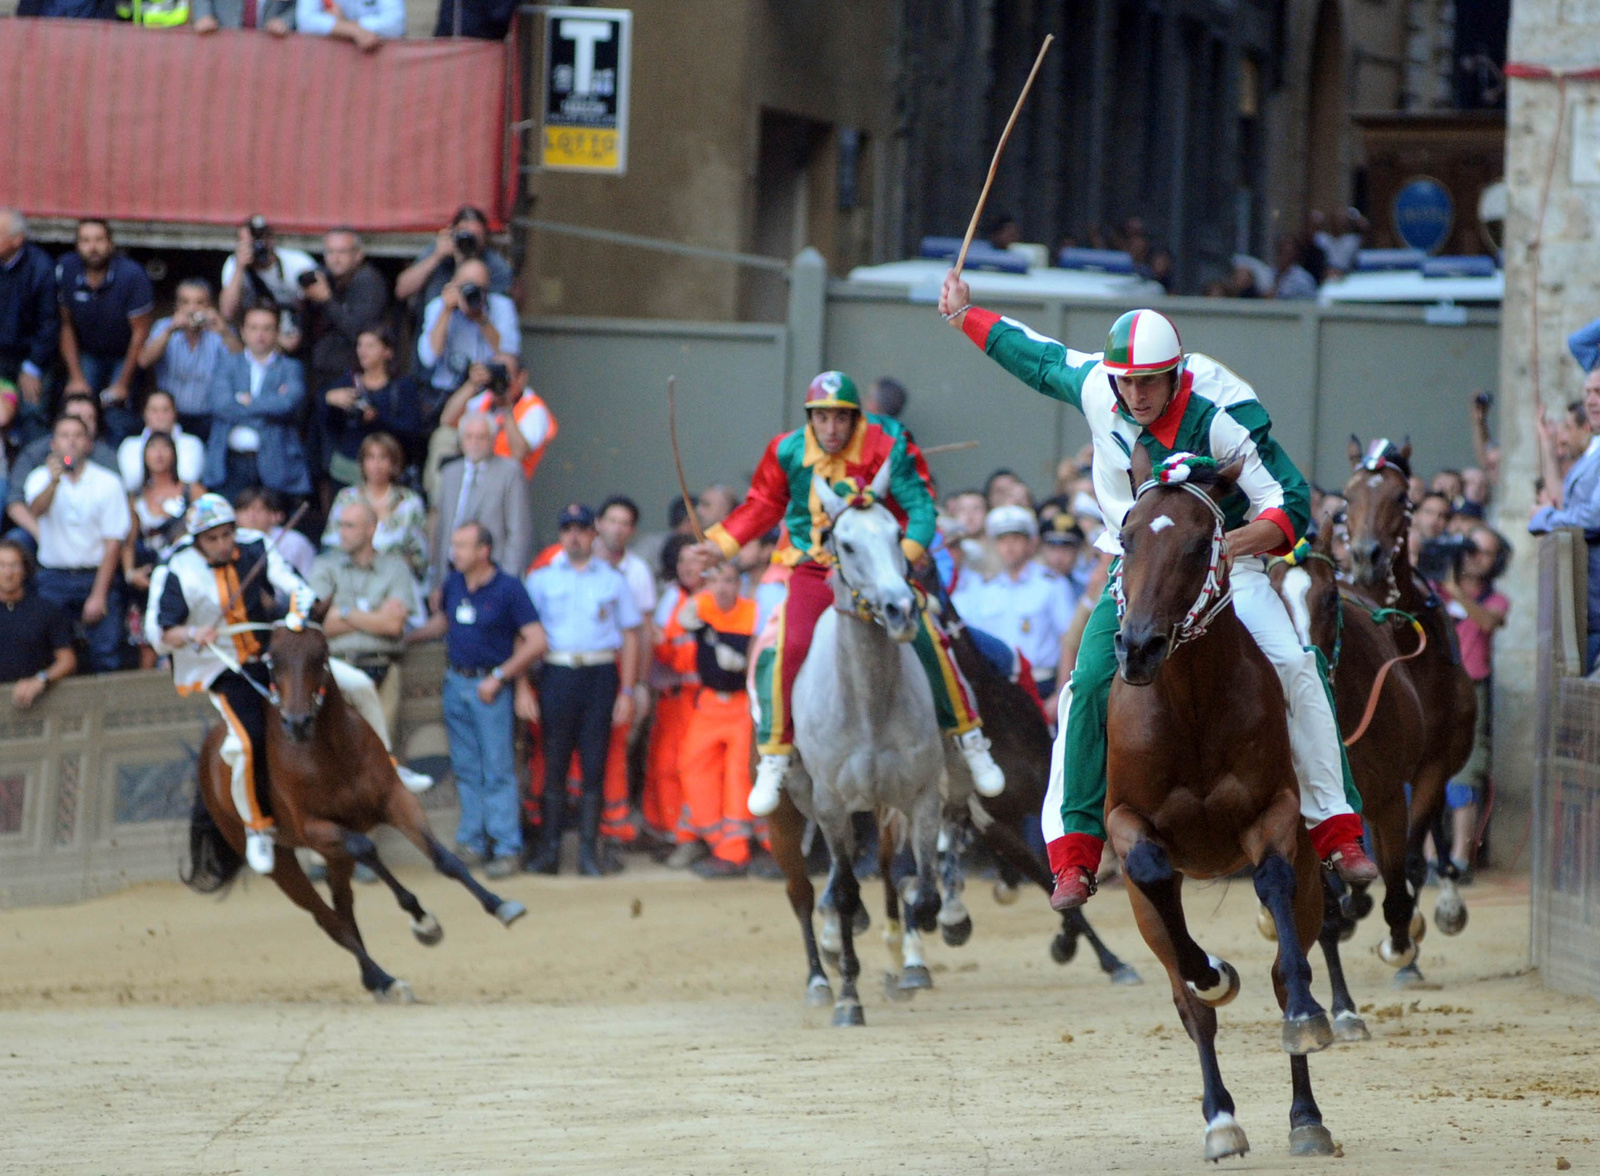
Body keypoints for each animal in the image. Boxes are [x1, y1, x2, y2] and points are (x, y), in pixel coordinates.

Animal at [185, 608, 524, 1004]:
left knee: (343, 909)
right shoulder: (317, 829)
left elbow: (444, 858)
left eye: (320, 656)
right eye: (272, 661)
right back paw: (384, 978)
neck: (331, 752)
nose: (297, 723)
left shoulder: (396, 800)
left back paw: (378, 981)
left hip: (333, 854)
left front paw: (501, 905)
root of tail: (207, 751)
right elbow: (368, 848)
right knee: (327, 918)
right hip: (285, 862)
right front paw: (423, 921)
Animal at [758, 464, 934, 1024]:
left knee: (876, 872)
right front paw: (849, 996)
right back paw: (821, 976)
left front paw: (915, 954)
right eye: (847, 544)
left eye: (898, 534)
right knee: (805, 890)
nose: (900, 610)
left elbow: (918, 881)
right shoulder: (832, 803)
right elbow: (846, 888)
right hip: (787, 815)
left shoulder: (919, 796)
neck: (868, 703)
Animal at [1100, 454, 1337, 1164]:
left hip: (1313, 879)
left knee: (1291, 965)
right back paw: (1221, 1119)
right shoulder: (1126, 822)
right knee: (1186, 998)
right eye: (1127, 539)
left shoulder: (1275, 814)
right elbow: (1153, 875)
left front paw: (1305, 1020)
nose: (1139, 647)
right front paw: (1212, 972)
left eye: (1198, 543)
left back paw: (1306, 1115)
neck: (1191, 703)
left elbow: (1277, 902)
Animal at [1273, 505, 1427, 1030]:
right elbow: (1323, 917)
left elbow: (1396, 889)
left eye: (1330, 597)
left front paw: (1400, 945)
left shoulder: (1389, 796)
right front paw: (1342, 1008)